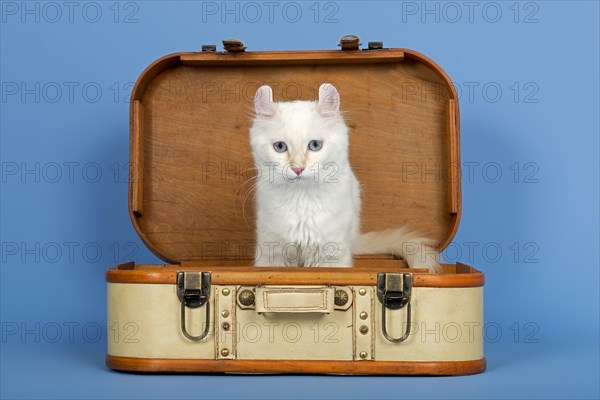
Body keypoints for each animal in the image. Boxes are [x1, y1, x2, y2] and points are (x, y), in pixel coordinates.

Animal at [248, 83, 440, 274]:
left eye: (315, 145)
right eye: (280, 147)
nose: (298, 168)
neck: (301, 199)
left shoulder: (329, 254)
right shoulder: (272, 252)